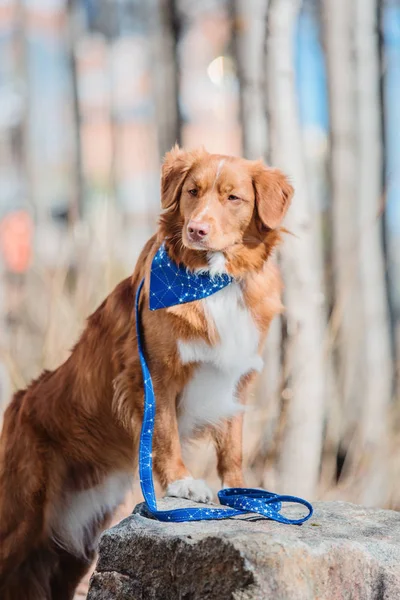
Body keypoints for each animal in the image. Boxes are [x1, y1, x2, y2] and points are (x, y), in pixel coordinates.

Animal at [0, 146, 292, 600]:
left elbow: (232, 449)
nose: (196, 230)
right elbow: (167, 431)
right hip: (21, 515)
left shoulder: (236, 383)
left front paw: (239, 490)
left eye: (234, 198)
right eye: (192, 192)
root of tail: (17, 403)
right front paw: (182, 483)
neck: (213, 280)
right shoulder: (153, 377)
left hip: (74, 541)